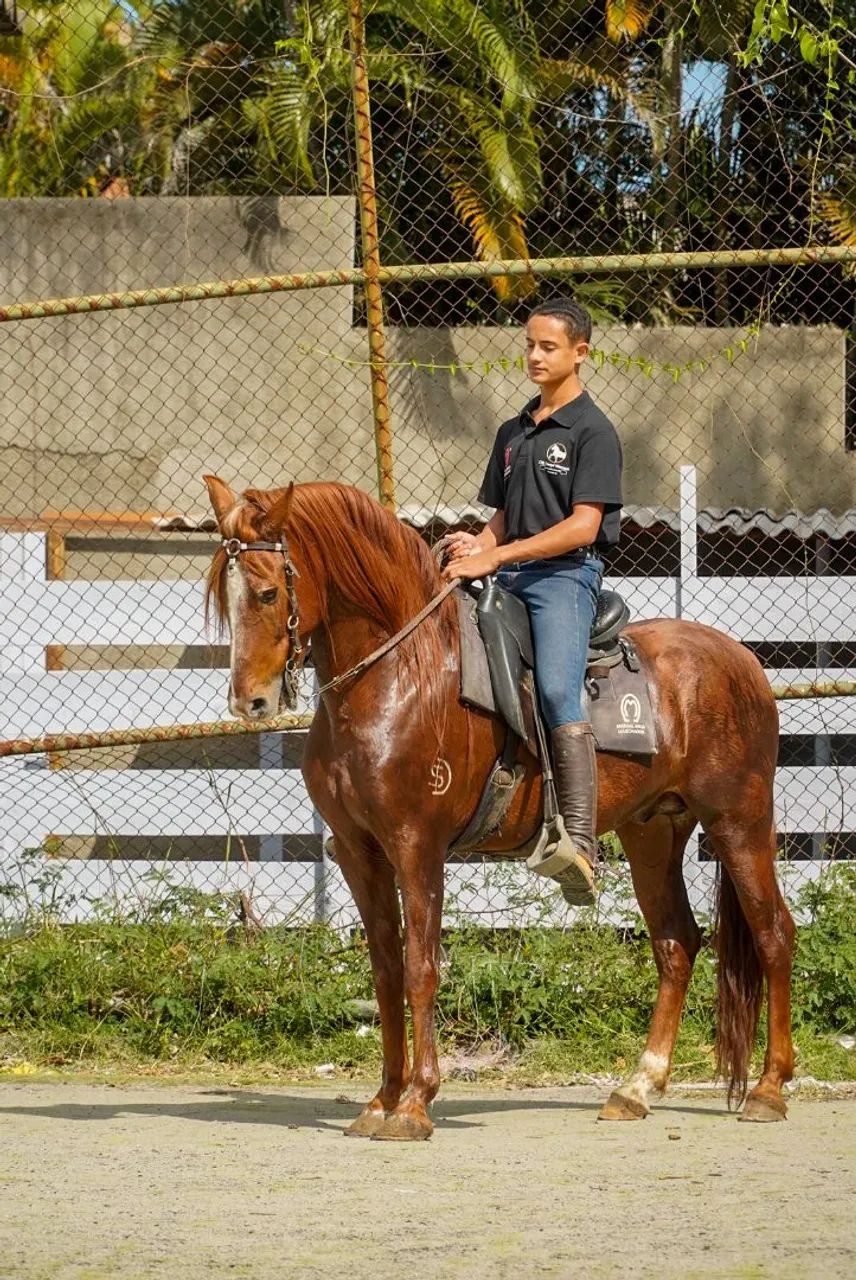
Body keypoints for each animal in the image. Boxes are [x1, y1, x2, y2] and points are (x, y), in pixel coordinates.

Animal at [203, 475, 795, 1141]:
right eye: (225, 598)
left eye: (268, 591)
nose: (249, 701)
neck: (399, 677)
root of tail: (740, 659)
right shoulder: (360, 853)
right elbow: (384, 970)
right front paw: (381, 1099)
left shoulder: (417, 848)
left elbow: (420, 967)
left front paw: (415, 1103)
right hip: (654, 833)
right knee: (676, 945)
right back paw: (638, 1087)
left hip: (739, 820)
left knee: (773, 934)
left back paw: (769, 1089)